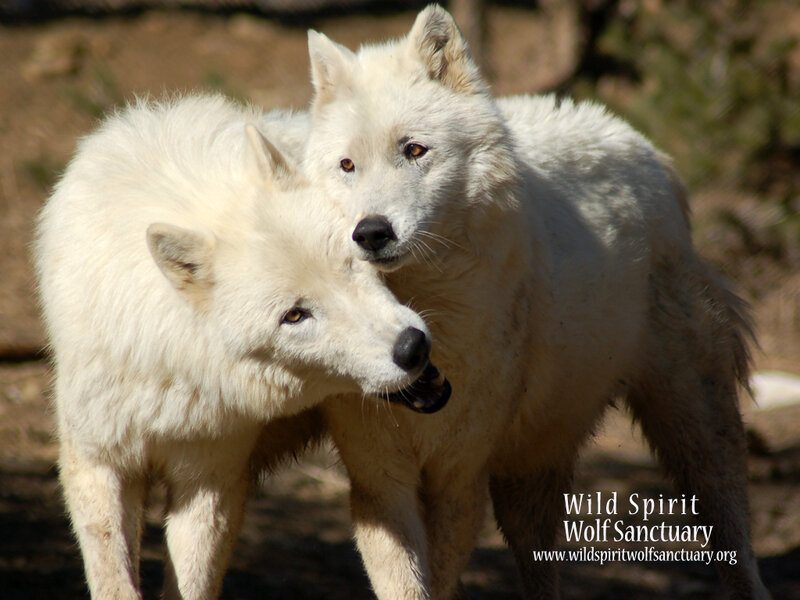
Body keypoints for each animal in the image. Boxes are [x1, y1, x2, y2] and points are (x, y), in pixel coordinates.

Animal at [33, 93, 450, 600]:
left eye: (351, 265)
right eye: (295, 315)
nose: (412, 346)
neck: (175, 370)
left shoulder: (211, 480)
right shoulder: (96, 466)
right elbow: (115, 582)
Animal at [302, 6, 771, 599]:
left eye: (414, 150)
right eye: (347, 166)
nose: (370, 232)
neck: (424, 310)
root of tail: (644, 145)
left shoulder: (458, 476)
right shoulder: (379, 479)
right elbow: (404, 582)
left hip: (695, 430)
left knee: (733, 532)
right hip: (531, 467)